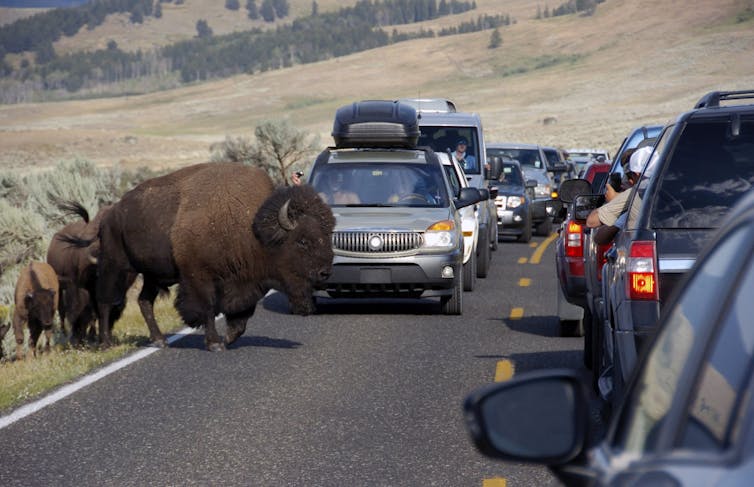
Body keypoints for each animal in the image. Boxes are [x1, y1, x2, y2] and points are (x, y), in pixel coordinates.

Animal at [63, 163, 334, 350]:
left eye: (327, 235)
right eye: (302, 240)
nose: (325, 272)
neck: (251, 228)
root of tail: (108, 215)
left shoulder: (245, 282)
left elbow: (241, 316)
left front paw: (228, 338)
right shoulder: (199, 278)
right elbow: (208, 308)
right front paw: (215, 343)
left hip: (152, 275)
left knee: (144, 301)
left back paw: (159, 340)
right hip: (118, 267)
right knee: (106, 301)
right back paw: (106, 343)